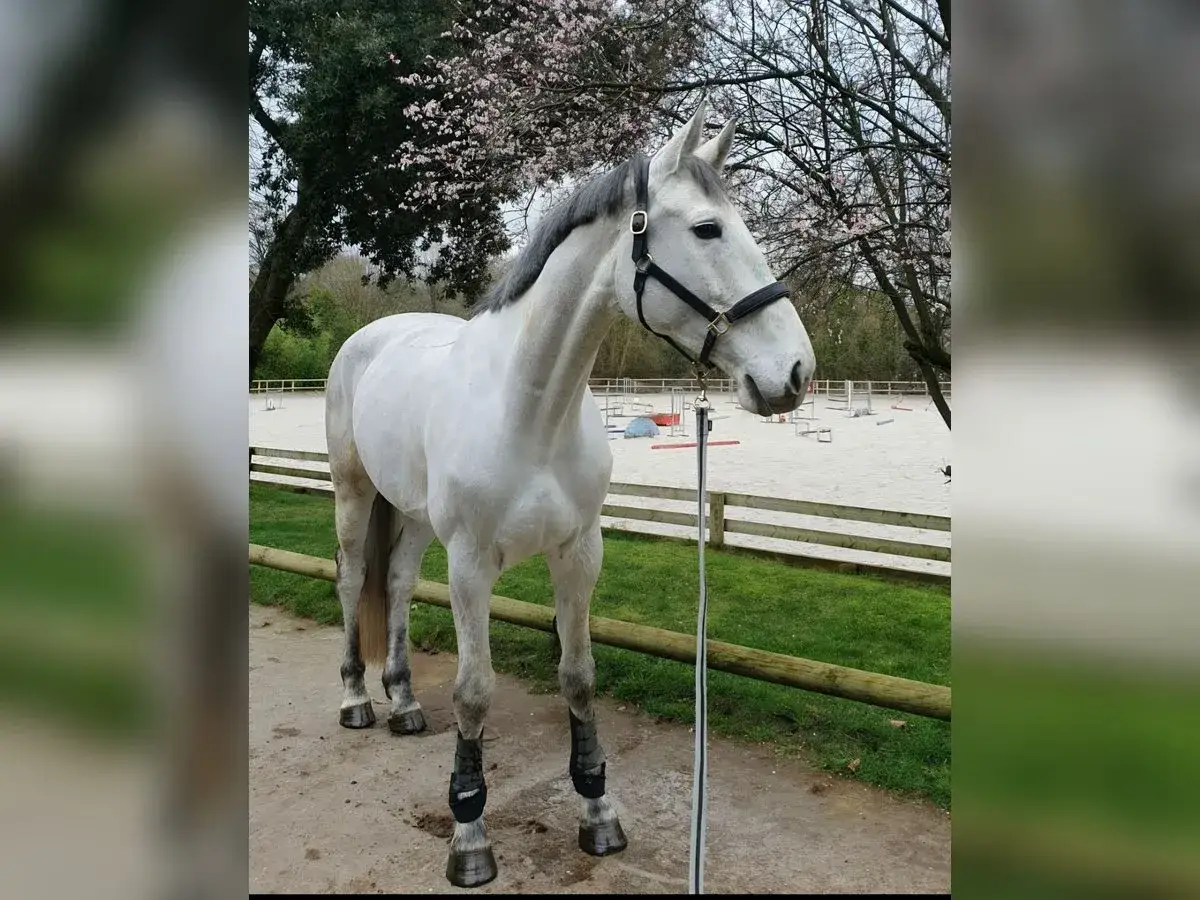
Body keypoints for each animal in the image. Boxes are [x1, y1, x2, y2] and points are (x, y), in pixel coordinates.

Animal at [324, 98, 815, 888]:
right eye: (707, 229)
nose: (795, 372)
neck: (529, 409)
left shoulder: (580, 552)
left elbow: (579, 676)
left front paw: (597, 811)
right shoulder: (471, 566)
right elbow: (474, 691)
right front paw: (469, 835)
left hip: (414, 516)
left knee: (394, 584)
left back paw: (401, 700)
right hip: (354, 492)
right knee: (350, 580)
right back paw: (356, 700)